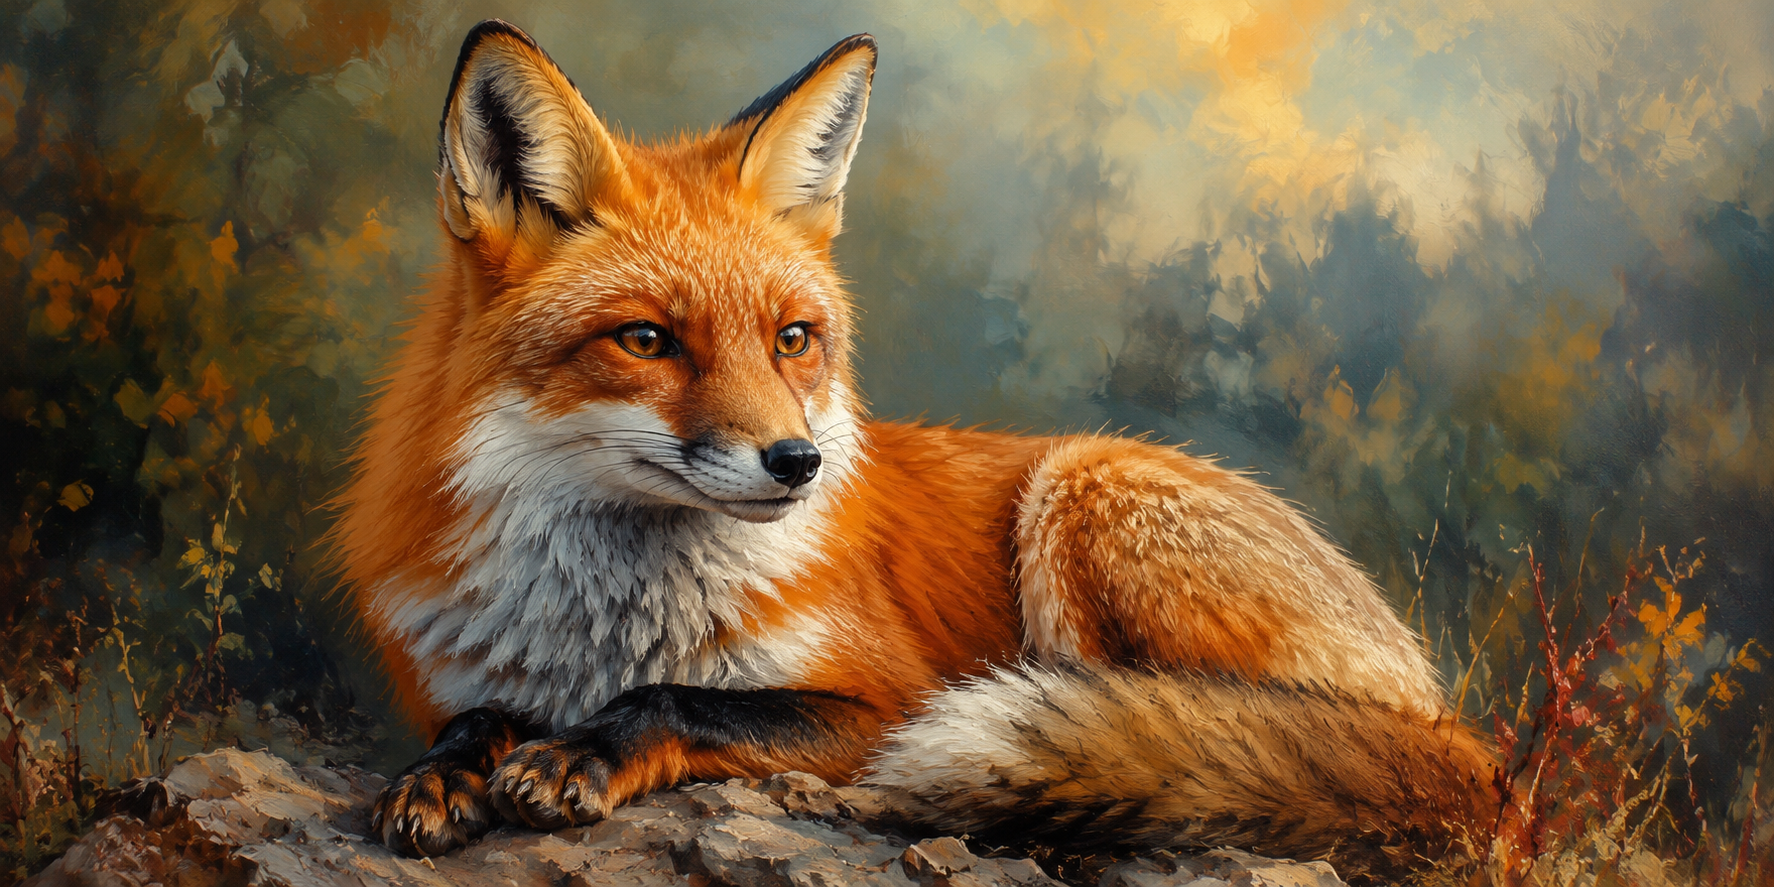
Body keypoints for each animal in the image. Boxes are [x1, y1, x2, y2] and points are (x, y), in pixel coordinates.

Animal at [330, 19, 1503, 880]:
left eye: (792, 338)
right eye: (647, 341)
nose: (796, 462)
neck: (602, 626)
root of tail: (1457, 729)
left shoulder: (892, 696)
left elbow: (686, 698)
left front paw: (584, 747)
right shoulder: (457, 675)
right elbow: (477, 716)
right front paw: (441, 773)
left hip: (1082, 488)